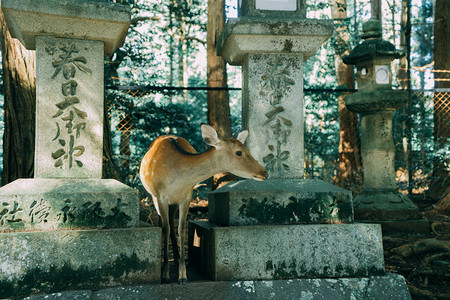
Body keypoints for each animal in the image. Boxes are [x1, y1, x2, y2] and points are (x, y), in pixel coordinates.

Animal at [140, 123, 268, 284]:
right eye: (239, 152)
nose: (264, 173)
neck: (176, 179)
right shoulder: (160, 196)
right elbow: (165, 229)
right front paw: (165, 275)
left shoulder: (186, 196)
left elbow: (182, 229)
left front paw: (182, 276)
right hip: (154, 196)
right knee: (166, 224)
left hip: (174, 202)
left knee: (172, 222)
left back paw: (176, 258)